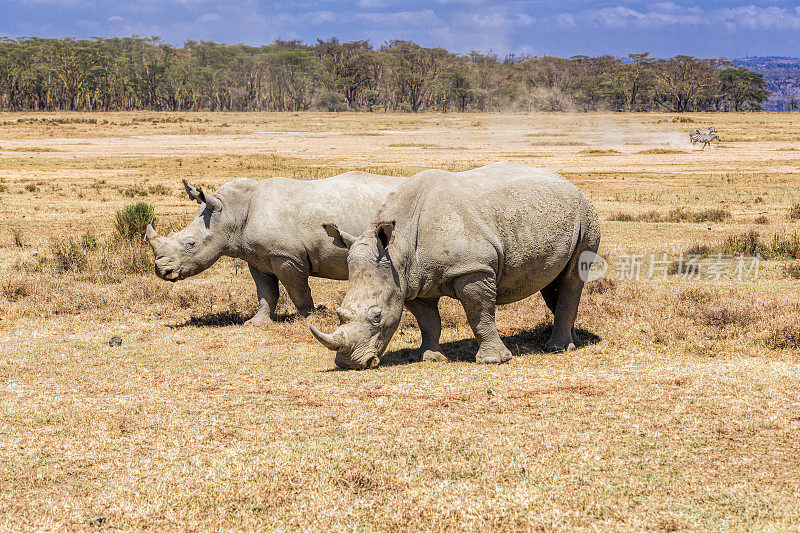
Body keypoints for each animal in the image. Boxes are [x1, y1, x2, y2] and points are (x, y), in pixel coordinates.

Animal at [147, 172, 404, 326]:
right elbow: (266, 292)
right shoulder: (258, 257)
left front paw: (309, 319)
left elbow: (297, 290)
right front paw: (255, 323)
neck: (230, 212)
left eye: (190, 244)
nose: (162, 271)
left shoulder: (287, 256)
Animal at [312, 162, 600, 368]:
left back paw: (558, 349)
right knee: (552, 281)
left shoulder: (473, 268)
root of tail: (570, 184)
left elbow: (479, 313)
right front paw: (428, 357)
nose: (348, 363)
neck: (397, 250)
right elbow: (428, 320)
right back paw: (573, 340)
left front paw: (493, 360)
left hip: (586, 214)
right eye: (340, 313)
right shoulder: (412, 281)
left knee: (573, 276)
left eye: (377, 316)